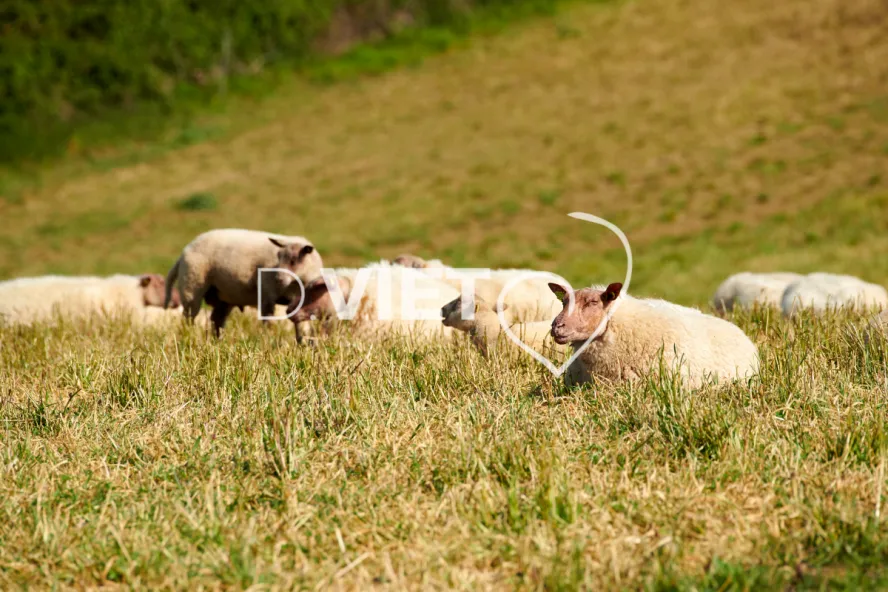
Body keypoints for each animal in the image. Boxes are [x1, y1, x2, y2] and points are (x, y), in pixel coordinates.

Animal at [164, 228, 323, 336]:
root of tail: (184, 252)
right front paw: (269, 340)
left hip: (223, 297)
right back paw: (188, 336)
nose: (278, 278)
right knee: (189, 318)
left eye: (294, 261)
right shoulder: (267, 295)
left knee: (216, 320)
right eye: (278, 257)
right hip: (191, 287)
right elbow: (269, 323)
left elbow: (301, 324)